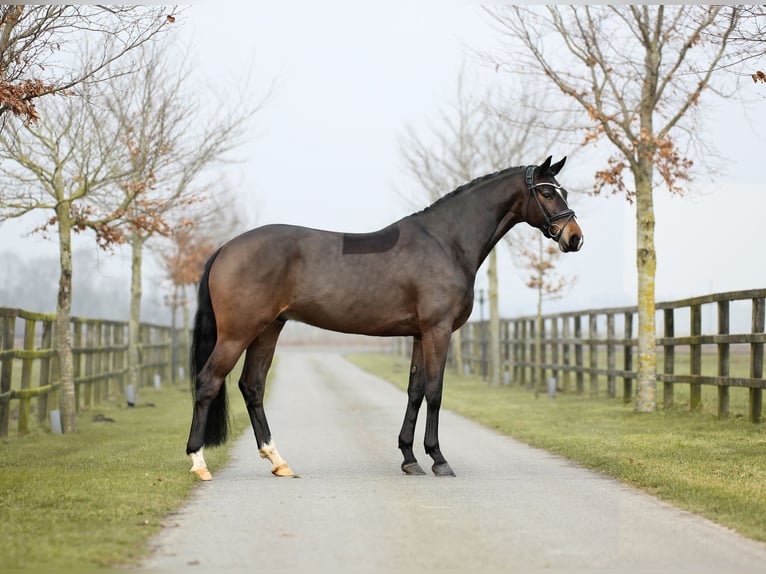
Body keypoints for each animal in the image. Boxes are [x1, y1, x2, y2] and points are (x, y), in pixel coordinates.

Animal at [184, 156, 584, 482]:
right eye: (546, 193)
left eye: (562, 190)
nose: (575, 238)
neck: (446, 242)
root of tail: (226, 248)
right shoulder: (438, 330)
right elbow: (435, 391)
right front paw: (438, 459)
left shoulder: (420, 334)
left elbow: (415, 391)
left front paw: (410, 458)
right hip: (238, 333)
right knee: (208, 382)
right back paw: (199, 463)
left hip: (269, 329)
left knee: (252, 386)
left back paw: (278, 461)